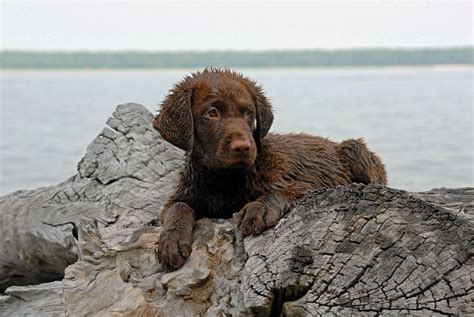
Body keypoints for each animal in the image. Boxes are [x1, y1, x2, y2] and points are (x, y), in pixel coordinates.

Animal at [154, 68, 386, 266]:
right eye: (212, 113)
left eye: (248, 113)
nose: (243, 147)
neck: (224, 179)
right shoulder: (184, 194)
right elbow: (177, 207)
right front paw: (172, 239)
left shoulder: (309, 184)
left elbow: (283, 191)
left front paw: (260, 208)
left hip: (354, 149)